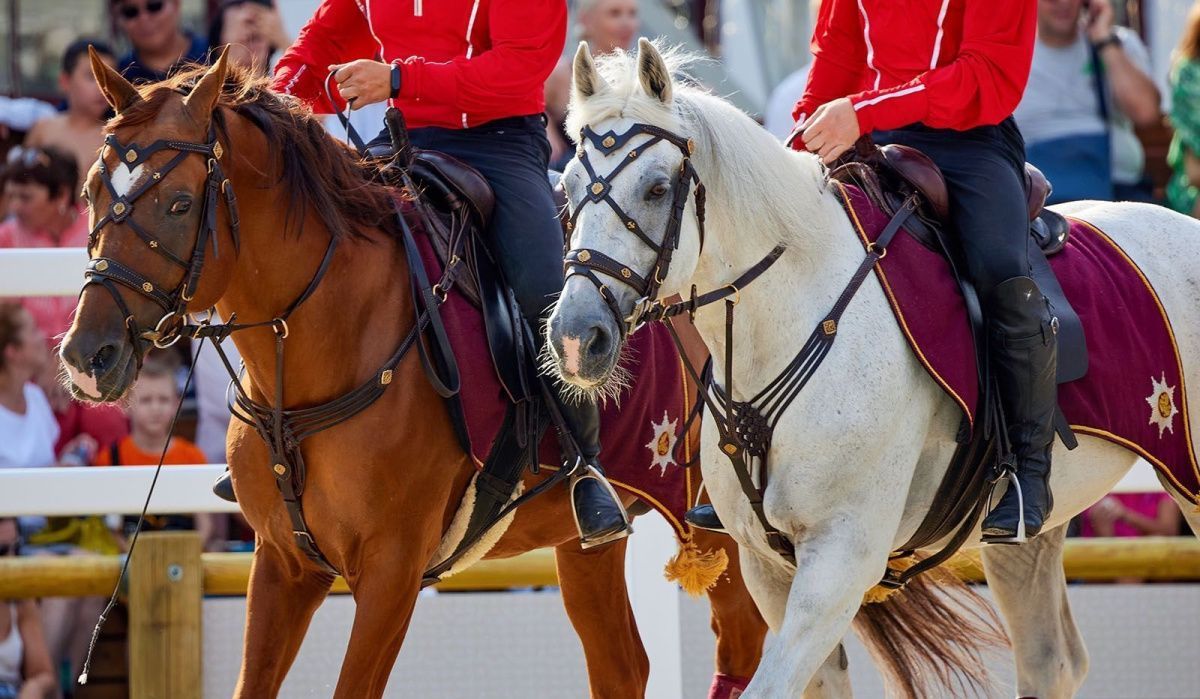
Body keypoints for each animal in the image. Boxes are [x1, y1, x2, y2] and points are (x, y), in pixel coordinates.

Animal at [58, 50, 768, 699]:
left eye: (179, 204)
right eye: (91, 191)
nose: (88, 356)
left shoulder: (390, 575)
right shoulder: (283, 564)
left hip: (729, 527)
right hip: (590, 539)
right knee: (625, 665)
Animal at [549, 38, 1200, 699]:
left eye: (658, 189)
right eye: (568, 188)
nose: (576, 338)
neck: (789, 322)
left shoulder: (840, 560)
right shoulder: (769, 567)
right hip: (1026, 536)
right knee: (1051, 660)